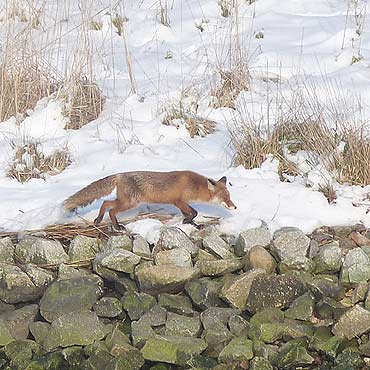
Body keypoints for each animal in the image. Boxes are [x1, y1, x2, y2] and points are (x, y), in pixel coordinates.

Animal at [62, 170, 237, 228]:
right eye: (226, 197)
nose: (235, 207)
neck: (194, 186)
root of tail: (119, 175)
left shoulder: (181, 203)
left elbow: (190, 214)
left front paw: (190, 223)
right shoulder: (178, 201)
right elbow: (194, 212)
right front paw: (189, 221)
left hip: (125, 201)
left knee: (106, 203)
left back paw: (98, 220)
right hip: (130, 203)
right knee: (111, 209)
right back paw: (117, 226)